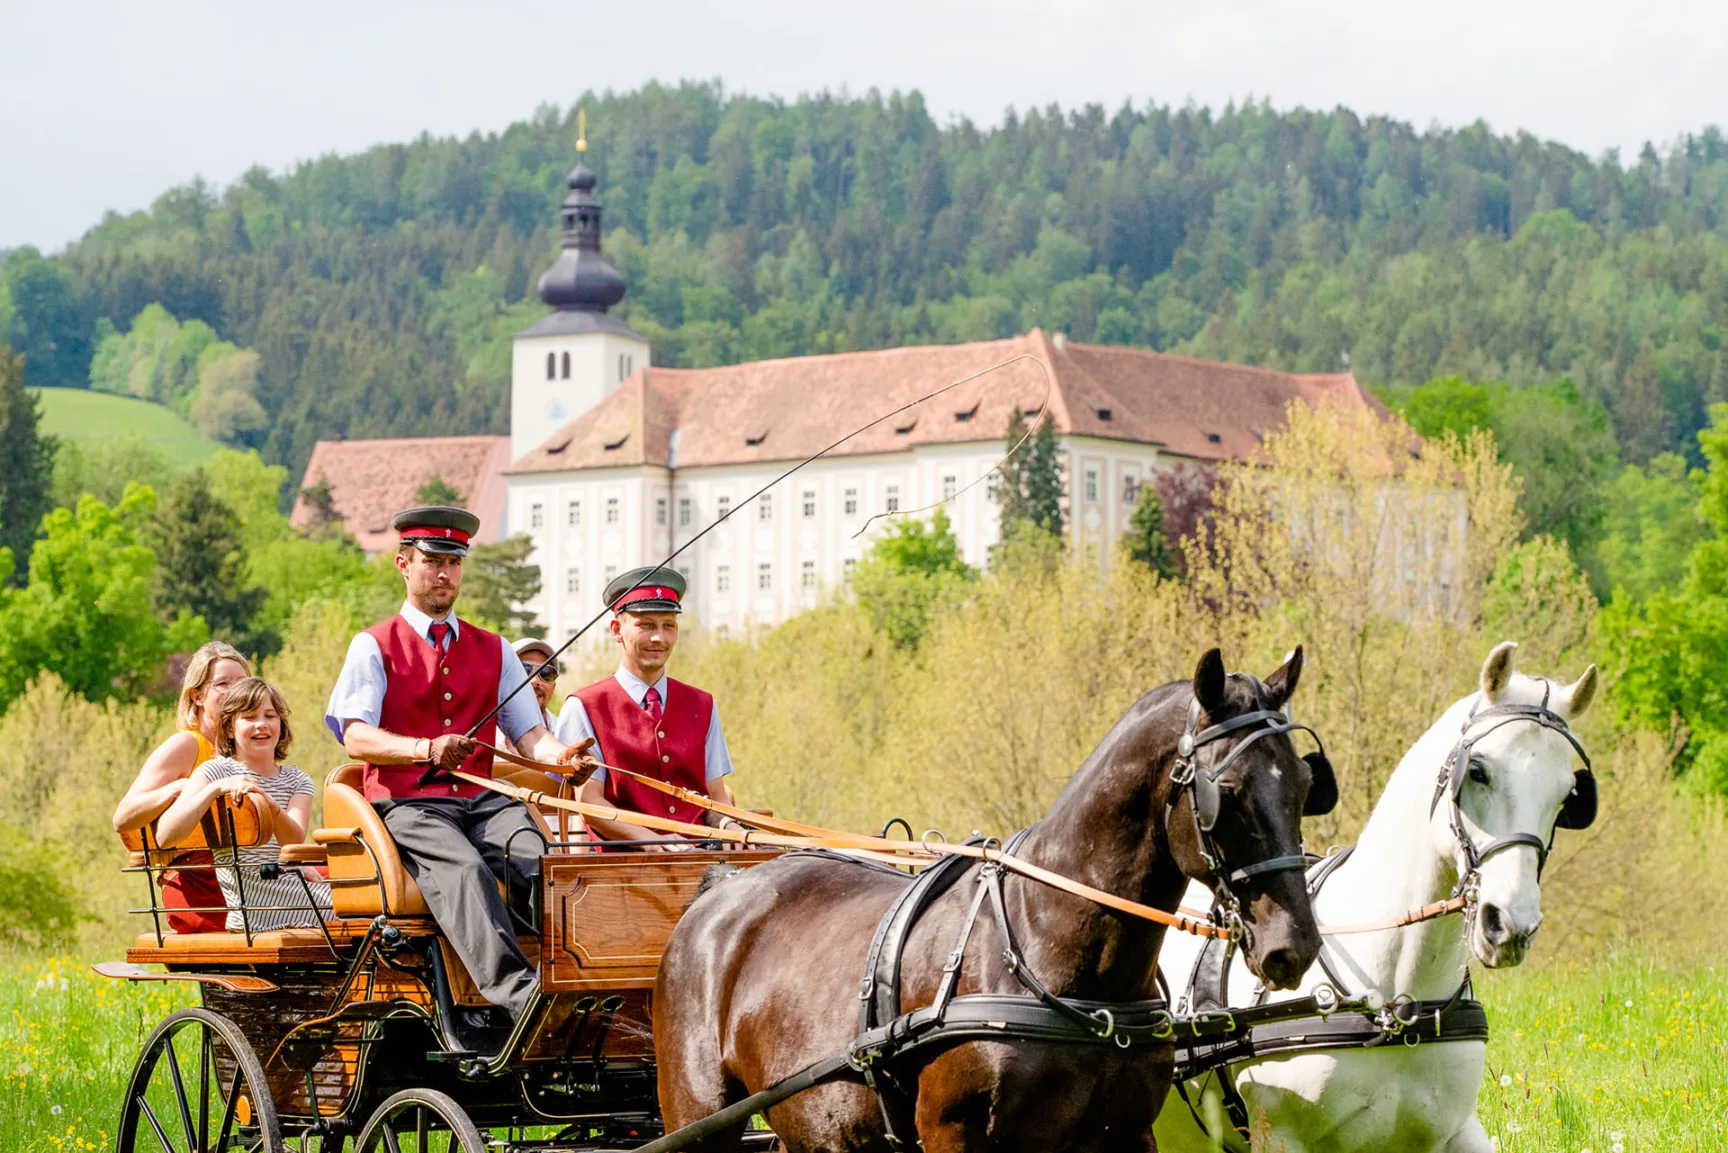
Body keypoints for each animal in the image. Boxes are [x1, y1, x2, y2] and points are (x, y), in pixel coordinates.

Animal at [653, 649, 1327, 1153]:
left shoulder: (1127, 1135)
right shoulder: (955, 1135)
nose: (1293, 945)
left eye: (1305, 784)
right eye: (1226, 792)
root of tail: (721, 889)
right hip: (697, 1122)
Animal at [1154, 639, 1596, 1153]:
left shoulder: (1450, 1132)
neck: (1396, 1003)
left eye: (1569, 794)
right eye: (1478, 771)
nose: (1510, 926)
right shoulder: (1280, 1136)